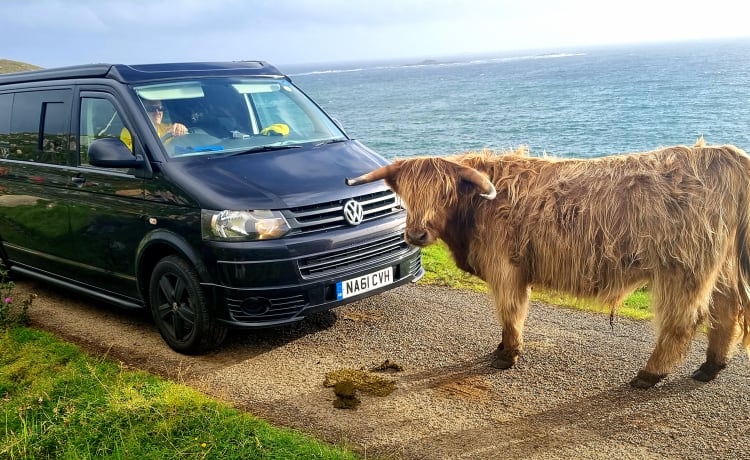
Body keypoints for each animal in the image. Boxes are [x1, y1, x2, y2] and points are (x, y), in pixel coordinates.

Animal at [348, 141, 750, 388]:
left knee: (683, 321)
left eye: (444, 193)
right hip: (718, 267)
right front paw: (501, 349)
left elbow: (510, 311)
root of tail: (723, 154)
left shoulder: (506, 269)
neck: (477, 210)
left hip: (682, 268)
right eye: (405, 194)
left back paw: (649, 374)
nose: (415, 234)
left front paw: (508, 355)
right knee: (726, 309)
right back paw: (711, 366)